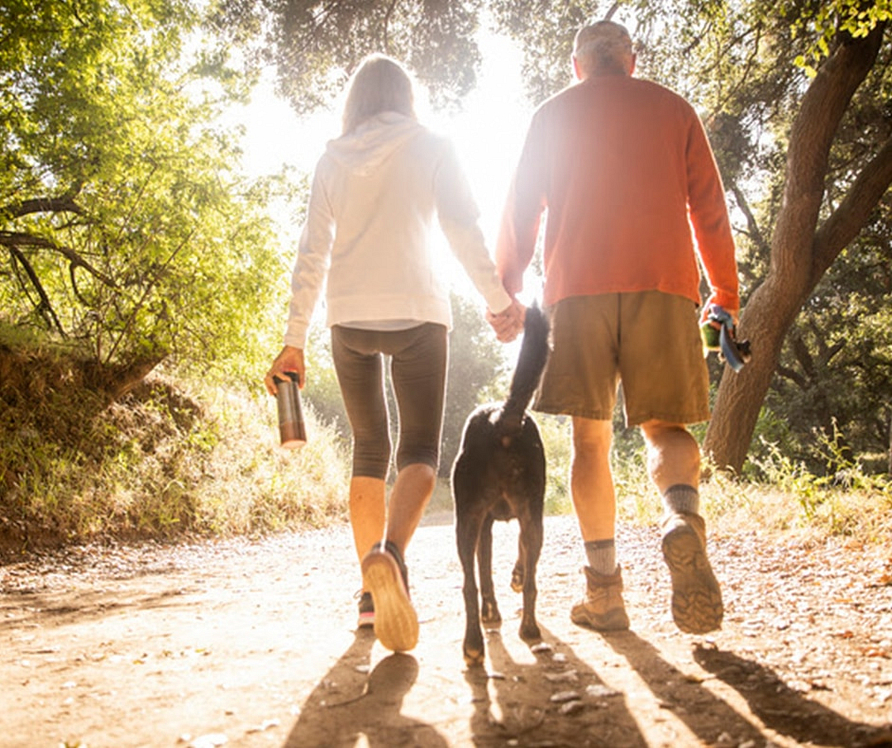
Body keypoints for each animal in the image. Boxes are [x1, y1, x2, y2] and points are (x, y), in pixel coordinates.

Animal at [452, 303, 550, 667]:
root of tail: (503, 417)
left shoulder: (484, 525)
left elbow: (484, 573)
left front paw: (491, 611)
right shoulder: (502, 522)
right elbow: (516, 560)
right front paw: (515, 581)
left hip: (467, 520)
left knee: (469, 585)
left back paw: (473, 645)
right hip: (532, 516)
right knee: (532, 578)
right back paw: (529, 628)